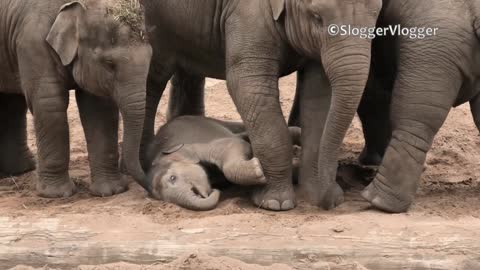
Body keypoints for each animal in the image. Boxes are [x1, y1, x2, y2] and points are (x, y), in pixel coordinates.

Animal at [0, 0, 151, 198]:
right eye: (109, 64)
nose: (149, 190)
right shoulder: (32, 43)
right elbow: (50, 103)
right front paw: (57, 194)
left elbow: (99, 108)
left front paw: (111, 191)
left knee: (11, 101)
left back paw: (19, 170)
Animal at [143, 116, 300, 211]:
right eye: (167, 201)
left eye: (172, 178)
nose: (215, 190)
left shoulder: (199, 145)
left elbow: (237, 145)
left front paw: (257, 170)